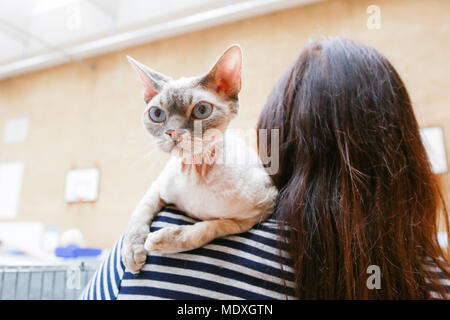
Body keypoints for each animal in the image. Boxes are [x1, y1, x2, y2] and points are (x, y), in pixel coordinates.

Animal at [123, 44, 278, 276]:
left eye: (201, 110)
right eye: (157, 114)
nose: (173, 132)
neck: (195, 173)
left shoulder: (258, 213)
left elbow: (207, 228)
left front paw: (165, 240)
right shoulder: (158, 187)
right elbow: (139, 213)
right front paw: (133, 251)